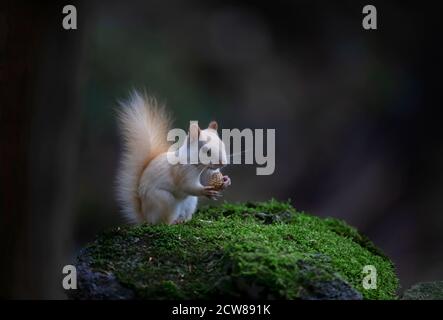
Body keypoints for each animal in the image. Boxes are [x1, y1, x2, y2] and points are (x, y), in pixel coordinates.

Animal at [114, 90, 232, 225]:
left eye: (223, 145)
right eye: (207, 152)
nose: (223, 163)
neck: (198, 166)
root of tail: (145, 217)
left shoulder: (207, 171)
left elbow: (210, 178)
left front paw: (226, 181)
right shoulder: (182, 170)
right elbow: (187, 185)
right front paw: (204, 191)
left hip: (190, 202)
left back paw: (184, 220)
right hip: (164, 201)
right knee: (164, 221)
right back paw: (173, 222)